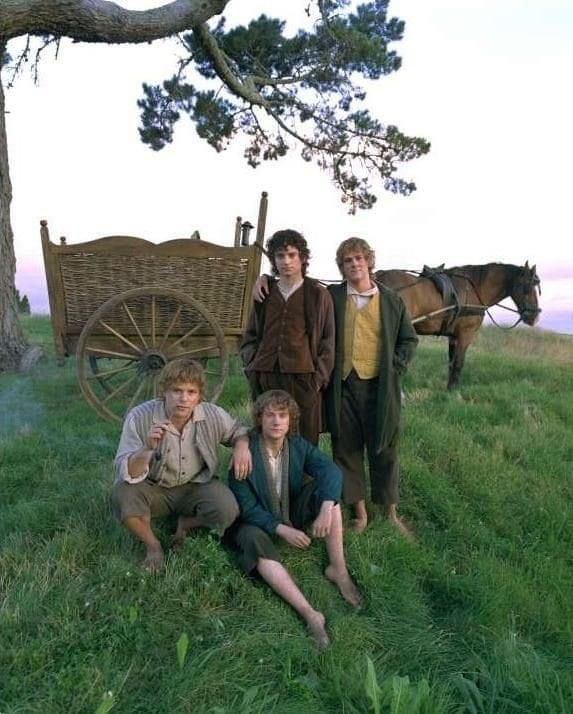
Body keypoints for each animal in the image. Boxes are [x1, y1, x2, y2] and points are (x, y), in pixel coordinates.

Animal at [376, 262, 540, 386]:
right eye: (527, 286)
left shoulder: (453, 337)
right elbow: (458, 364)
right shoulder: (466, 334)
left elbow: (451, 362)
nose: (534, 316)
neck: (475, 289)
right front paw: (452, 391)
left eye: (537, 287)